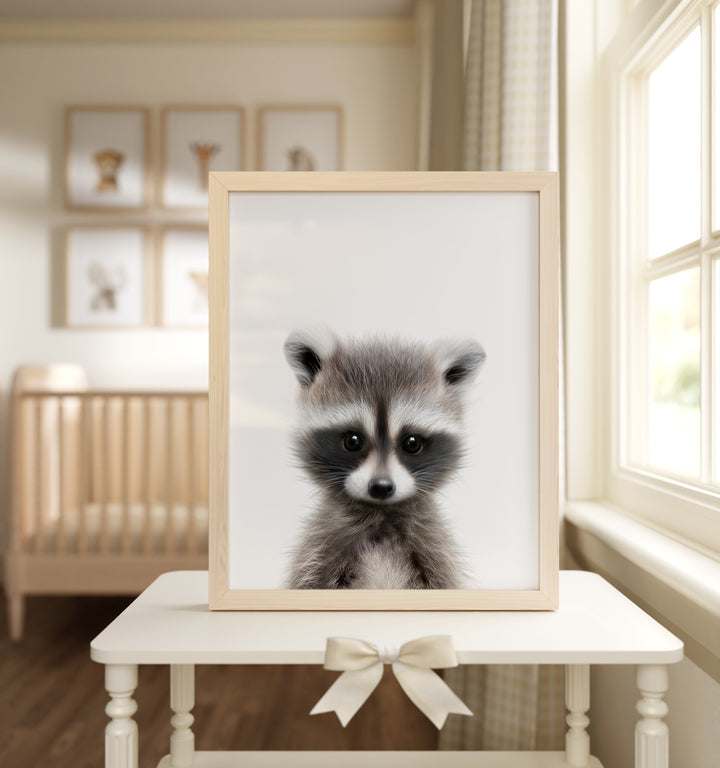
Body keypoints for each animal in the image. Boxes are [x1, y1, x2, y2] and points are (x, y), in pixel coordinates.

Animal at [283, 330, 486, 590]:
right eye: (352, 441)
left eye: (412, 443)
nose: (381, 487)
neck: (380, 516)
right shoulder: (322, 546)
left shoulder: (433, 546)